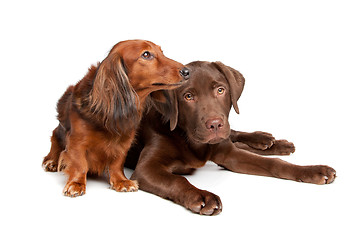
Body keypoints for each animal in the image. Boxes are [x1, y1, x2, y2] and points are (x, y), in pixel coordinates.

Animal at [42, 39, 190, 197]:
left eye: (162, 52)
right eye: (146, 54)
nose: (187, 72)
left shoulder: (124, 141)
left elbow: (117, 162)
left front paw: (121, 181)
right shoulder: (77, 141)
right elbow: (79, 163)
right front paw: (76, 183)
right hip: (58, 133)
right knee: (54, 141)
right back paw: (51, 161)